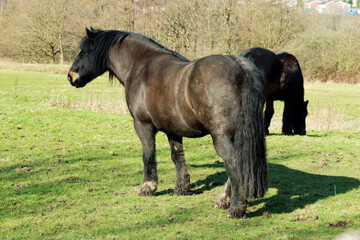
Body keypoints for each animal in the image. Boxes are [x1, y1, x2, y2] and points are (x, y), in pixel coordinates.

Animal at [67, 27, 268, 218]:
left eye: (84, 51)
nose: (71, 76)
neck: (140, 67)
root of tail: (242, 67)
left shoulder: (143, 125)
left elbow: (148, 154)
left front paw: (148, 187)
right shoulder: (173, 130)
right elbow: (177, 156)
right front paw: (181, 188)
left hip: (221, 136)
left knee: (233, 163)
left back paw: (235, 208)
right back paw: (223, 200)